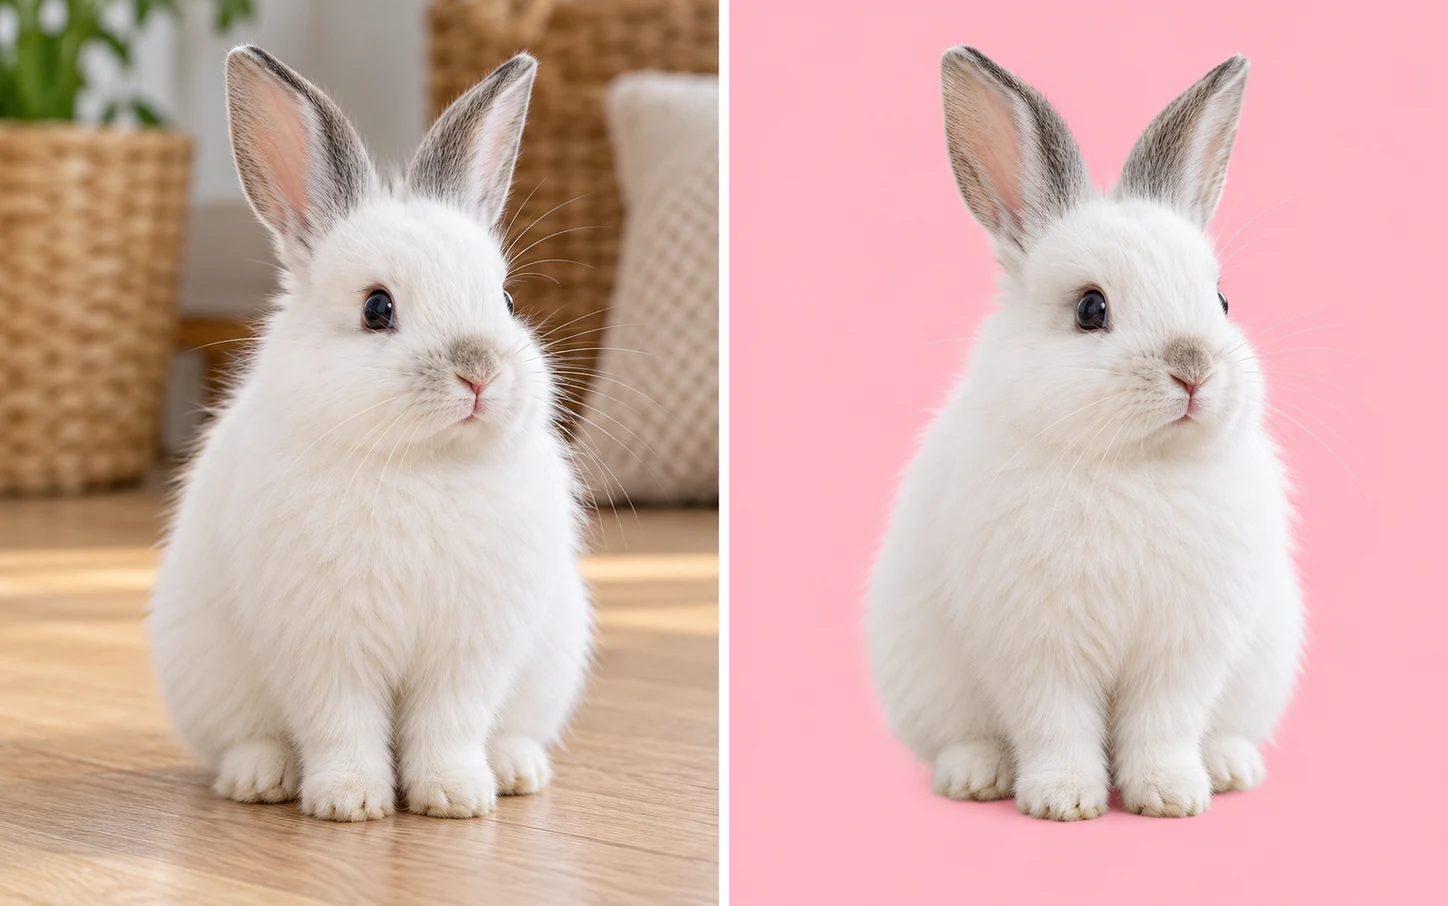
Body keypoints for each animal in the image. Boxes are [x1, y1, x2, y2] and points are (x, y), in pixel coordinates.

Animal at [147, 46, 593, 822]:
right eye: (377, 309)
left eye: (507, 300)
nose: (479, 374)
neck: (422, 463)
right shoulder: (324, 649)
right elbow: (341, 723)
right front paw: (351, 801)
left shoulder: (467, 652)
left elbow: (449, 724)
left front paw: (455, 796)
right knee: (248, 739)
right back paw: (259, 779)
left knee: (510, 730)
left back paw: (515, 770)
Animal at [865, 47, 1303, 821]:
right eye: (1090, 309)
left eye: (1222, 299)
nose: (1193, 371)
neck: (1135, 465)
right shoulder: (1039, 648)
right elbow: (1056, 722)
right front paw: (1064, 800)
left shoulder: (1182, 650)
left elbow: (1164, 724)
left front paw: (1171, 796)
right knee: (964, 737)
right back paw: (974, 778)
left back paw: (1229, 768)